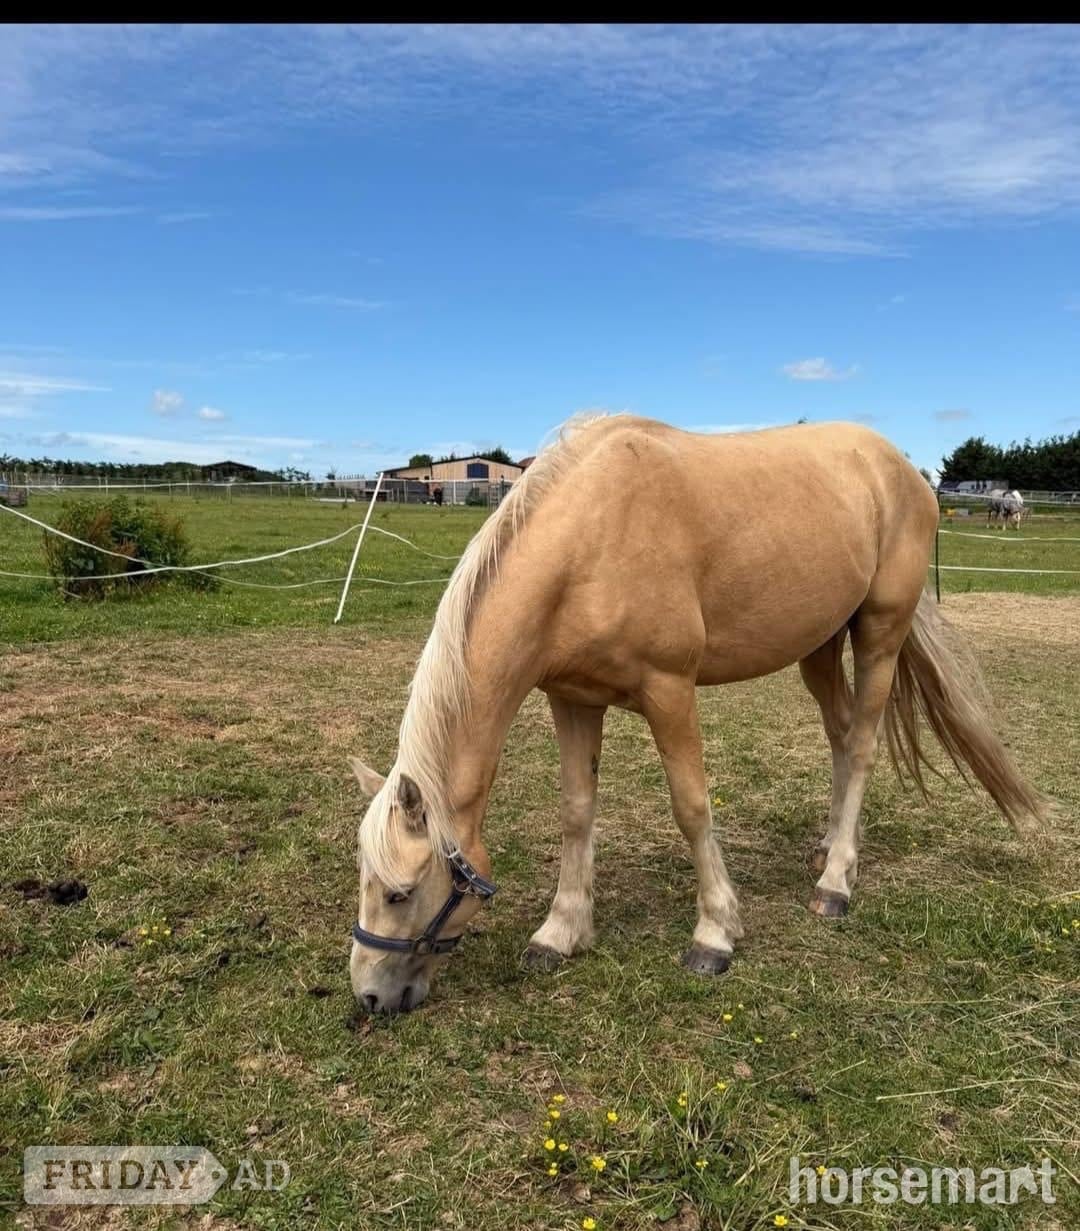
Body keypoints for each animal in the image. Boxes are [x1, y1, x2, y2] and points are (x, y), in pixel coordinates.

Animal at [348, 415, 1045, 1014]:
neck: (589, 542)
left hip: (879, 632)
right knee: (842, 736)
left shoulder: (669, 691)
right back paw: (829, 850)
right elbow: (576, 811)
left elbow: (691, 807)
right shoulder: (573, 699)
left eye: (400, 892)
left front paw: (714, 934)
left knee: (865, 743)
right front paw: (560, 932)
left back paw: (836, 883)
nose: (370, 997)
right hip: (819, 645)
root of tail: (902, 469)